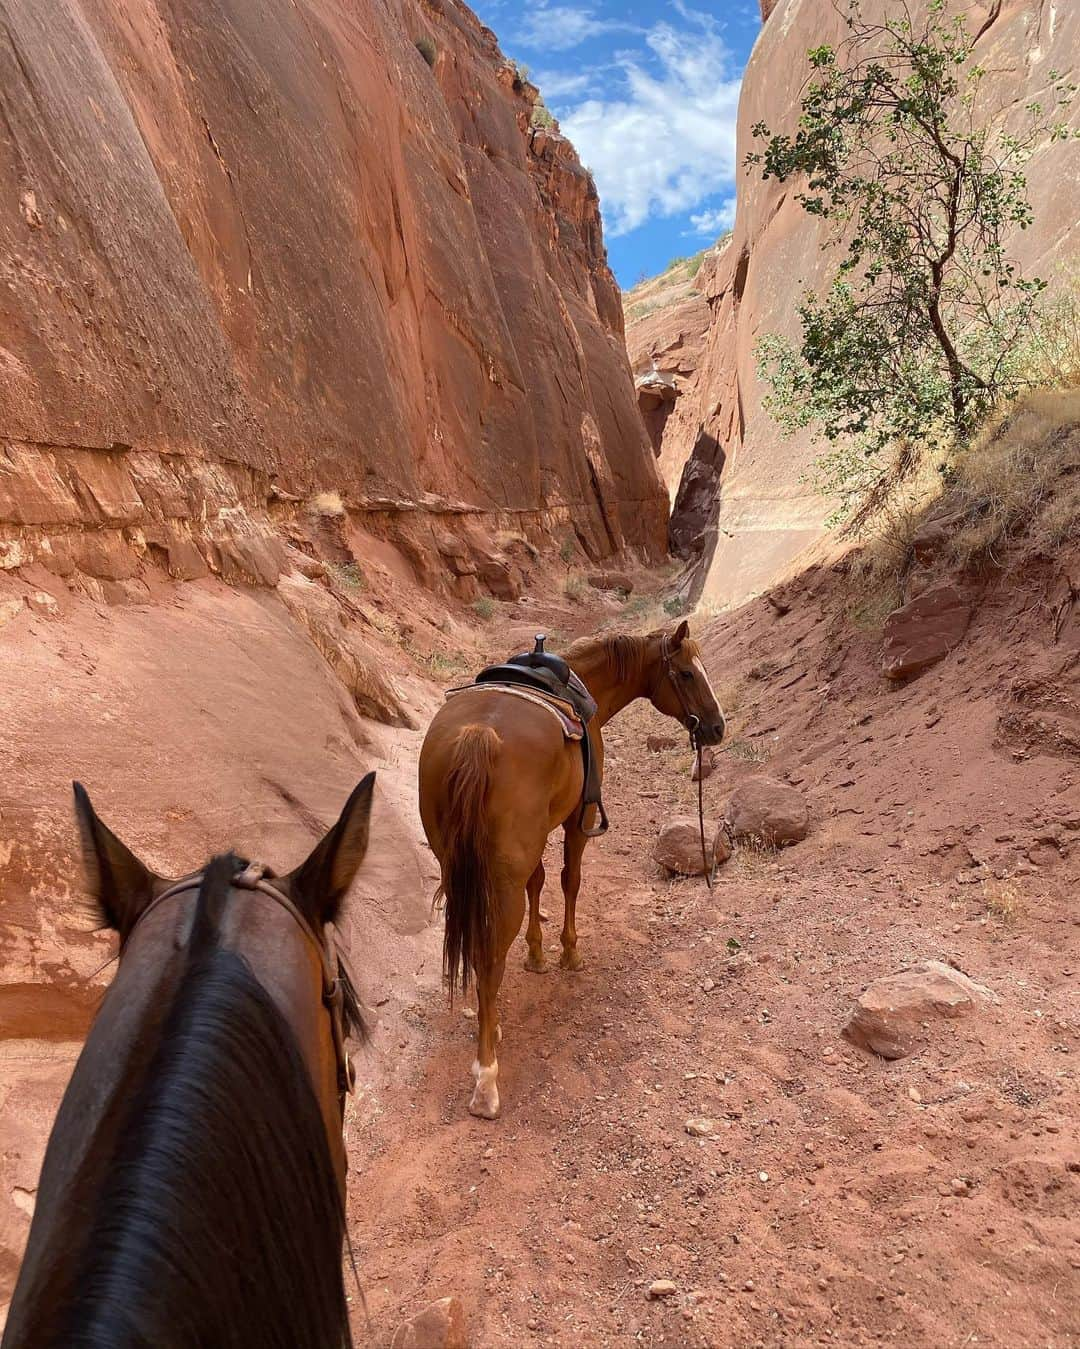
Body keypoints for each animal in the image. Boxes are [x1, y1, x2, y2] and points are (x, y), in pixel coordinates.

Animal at [420, 620, 722, 1116]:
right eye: (685, 673)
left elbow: (539, 883)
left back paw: (490, 1023)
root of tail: (479, 735)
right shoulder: (579, 819)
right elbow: (569, 881)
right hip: (501, 878)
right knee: (489, 956)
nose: (717, 727)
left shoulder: (535, 840)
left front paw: (538, 955)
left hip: (458, 865)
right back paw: (486, 1076)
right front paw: (569, 953)